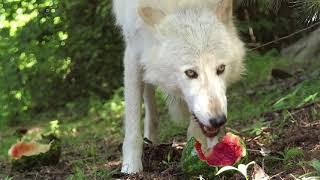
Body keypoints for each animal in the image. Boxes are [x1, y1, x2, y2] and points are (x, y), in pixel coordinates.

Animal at [112, 0, 245, 173]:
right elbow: (133, 121)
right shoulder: (133, 49)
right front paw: (131, 166)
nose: (218, 121)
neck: (183, 4)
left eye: (221, 68)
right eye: (190, 73)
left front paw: (200, 152)